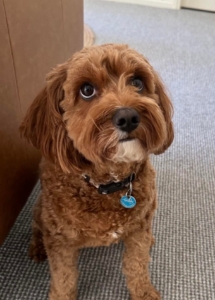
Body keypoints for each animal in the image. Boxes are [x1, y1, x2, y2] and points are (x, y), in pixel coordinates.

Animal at [20, 44, 174, 300]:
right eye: (87, 90)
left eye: (137, 82)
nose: (128, 117)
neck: (108, 184)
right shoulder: (60, 242)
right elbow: (63, 278)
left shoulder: (139, 228)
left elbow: (137, 265)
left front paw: (144, 292)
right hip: (42, 210)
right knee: (37, 225)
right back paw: (38, 247)